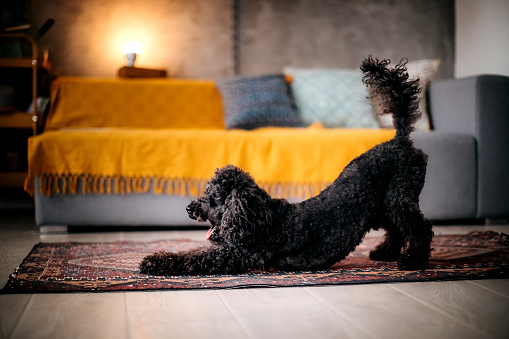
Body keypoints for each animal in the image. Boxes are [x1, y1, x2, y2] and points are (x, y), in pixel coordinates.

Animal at [140, 57, 432, 276]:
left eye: (213, 198)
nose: (190, 208)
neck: (261, 217)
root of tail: (400, 139)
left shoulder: (237, 255)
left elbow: (193, 257)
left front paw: (154, 261)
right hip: (384, 204)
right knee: (397, 229)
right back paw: (385, 253)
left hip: (399, 197)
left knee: (420, 228)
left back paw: (413, 261)